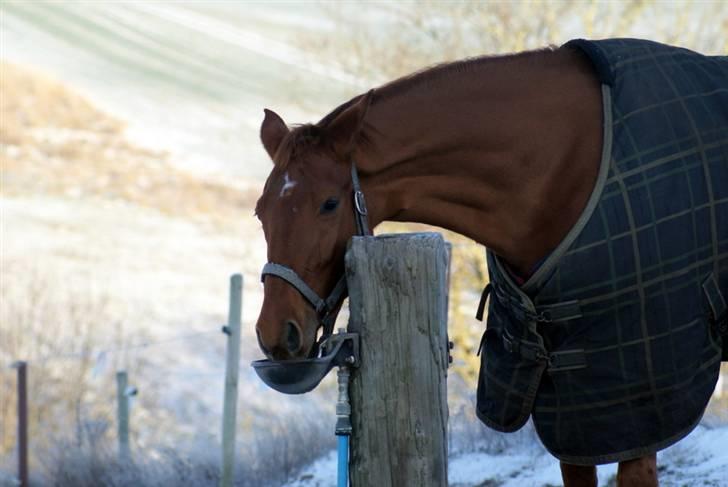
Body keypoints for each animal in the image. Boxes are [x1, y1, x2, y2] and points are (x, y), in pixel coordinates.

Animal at [253, 39, 724, 487]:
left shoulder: (638, 400)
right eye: (261, 211)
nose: (276, 332)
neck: (562, 164)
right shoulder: (568, 399)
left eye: (329, 204)